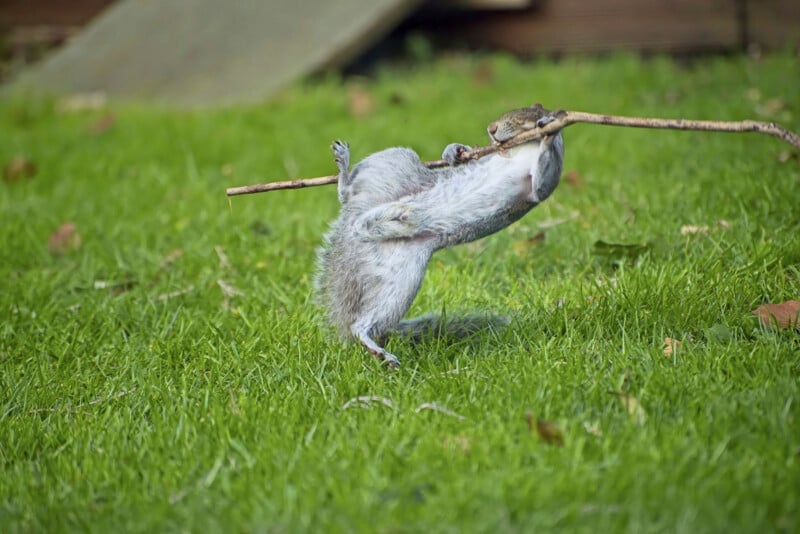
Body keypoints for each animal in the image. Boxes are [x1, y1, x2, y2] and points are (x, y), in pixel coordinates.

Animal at [316, 104, 564, 368]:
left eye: (527, 114)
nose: (492, 128)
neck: (521, 148)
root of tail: (355, 223)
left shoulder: (540, 186)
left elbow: (541, 184)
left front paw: (549, 132)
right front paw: (455, 151)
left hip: (400, 277)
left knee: (364, 323)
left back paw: (375, 347)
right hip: (392, 166)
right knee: (349, 193)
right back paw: (344, 169)